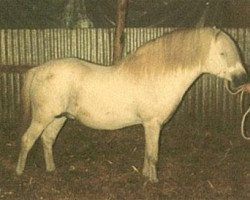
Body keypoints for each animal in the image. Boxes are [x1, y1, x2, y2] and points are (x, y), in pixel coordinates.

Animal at [16, 27, 248, 183]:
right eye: (223, 53)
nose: (242, 80)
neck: (157, 76)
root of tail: (39, 69)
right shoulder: (153, 124)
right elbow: (153, 155)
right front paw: (153, 181)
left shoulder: (150, 125)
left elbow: (148, 153)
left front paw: (145, 176)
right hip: (43, 117)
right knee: (27, 140)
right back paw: (19, 173)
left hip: (59, 117)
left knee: (47, 140)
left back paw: (51, 170)